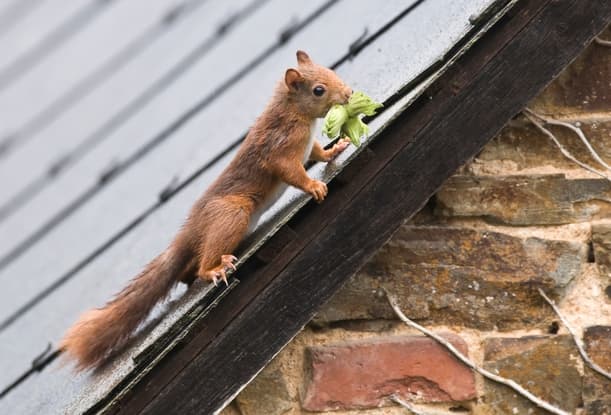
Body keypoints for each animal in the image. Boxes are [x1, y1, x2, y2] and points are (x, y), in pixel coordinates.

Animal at [61, 49, 354, 370]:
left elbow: (317, 152)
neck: (293, 114)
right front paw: (314, 186)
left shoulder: (305, 146)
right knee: (202, 267)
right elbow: (293, 173)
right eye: (318, 90)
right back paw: (216, 268)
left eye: (330, 70)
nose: (349, 94)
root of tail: (188, 233)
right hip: (232, 213)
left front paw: (336, 149)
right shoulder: (280, 149)